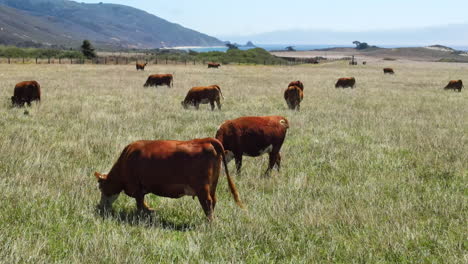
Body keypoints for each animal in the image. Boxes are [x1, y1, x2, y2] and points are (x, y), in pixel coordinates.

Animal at [93, 136, 243, 221]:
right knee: (213, 201)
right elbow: (141, 203)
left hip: (202, 188)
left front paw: (149, 213)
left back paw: (209, 223)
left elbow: (140, 204)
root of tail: (205, 140)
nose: (100, 207)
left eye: (101, 187)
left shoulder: (136, 188)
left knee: (207, 203)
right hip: (212, 186)